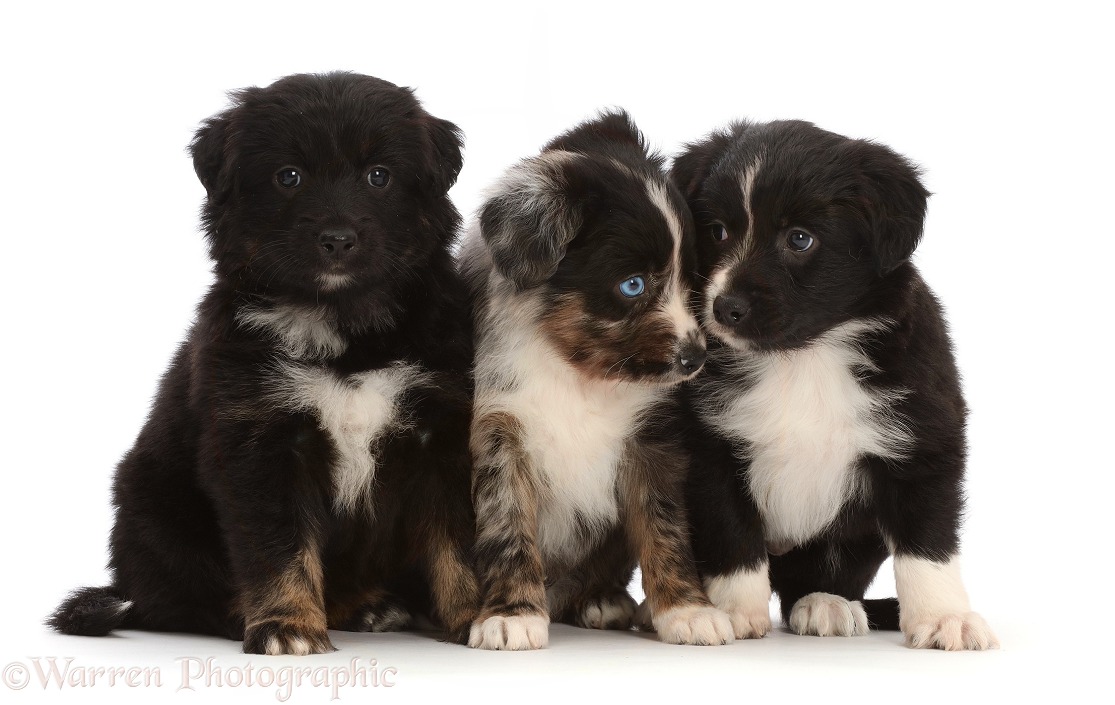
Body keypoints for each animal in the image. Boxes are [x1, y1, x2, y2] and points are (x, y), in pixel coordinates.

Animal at [49, 73, 479, 655]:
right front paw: (287, 624)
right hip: (153, 513)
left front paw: (483, 615)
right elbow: (278, 547)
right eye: (288, 176)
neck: (344, 326)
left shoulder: (444, 432)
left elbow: (459, 542)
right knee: (177, 600)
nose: (337, 240)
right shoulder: (260, 444)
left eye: (379, 175)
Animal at [459, 111, 731, 651]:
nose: (695, 358)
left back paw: (602, 600)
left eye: (689, 280)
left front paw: (687, 610)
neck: (578, 370)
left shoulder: (650, 440)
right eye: (633, 285)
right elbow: (507, 523)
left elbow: (665, 524)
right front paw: (511, 615)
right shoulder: (499, 428)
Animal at [669, 119, 1003, 651]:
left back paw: (826, 602)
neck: (802, 358)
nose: (725, 307)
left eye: (800, 239)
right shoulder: (709, 447)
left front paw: (945, 616)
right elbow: (733, 534)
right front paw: (734, 610)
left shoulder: (924, 436)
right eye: (717, 231)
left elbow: (928, 540)